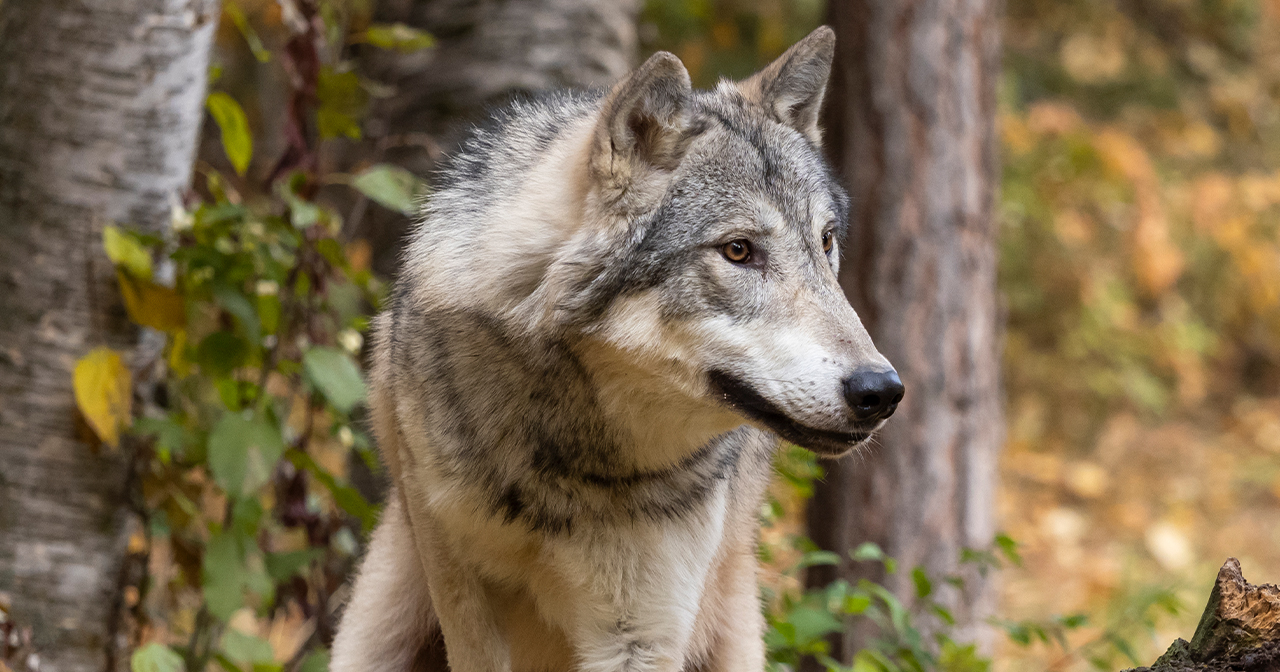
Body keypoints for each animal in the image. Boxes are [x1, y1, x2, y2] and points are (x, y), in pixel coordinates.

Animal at [329, 26, 903, 672]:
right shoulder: (464, 602)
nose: (882, 391)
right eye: (738, 250)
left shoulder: (638, 632)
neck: (560, 446)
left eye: (825, 242)